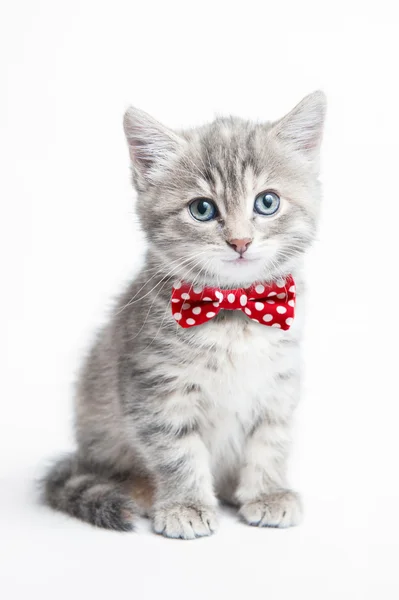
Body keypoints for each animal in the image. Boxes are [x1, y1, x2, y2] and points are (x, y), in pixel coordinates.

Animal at [43, 90, 324, 540]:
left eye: (267, 202)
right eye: (202, 209)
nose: (240, 241)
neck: (234, 312)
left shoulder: (278, 384)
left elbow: (271, 441)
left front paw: (268, 492)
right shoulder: (157, 387)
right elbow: (177, 450)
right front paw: (186, 505)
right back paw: (141, 491)